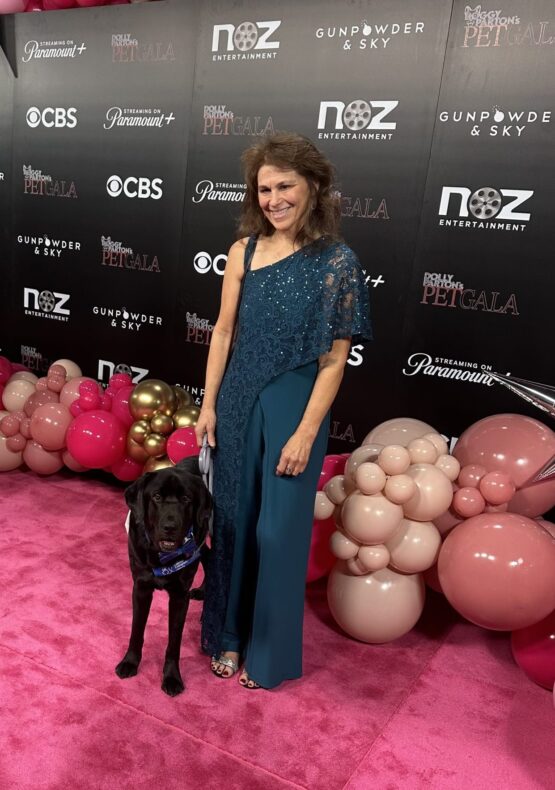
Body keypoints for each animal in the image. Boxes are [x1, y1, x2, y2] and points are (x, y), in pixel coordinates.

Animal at [115, 457, 212, 696]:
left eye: (186, 499)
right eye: (157, 497)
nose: (170, 527)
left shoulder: (179, 596)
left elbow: (174, 640)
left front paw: (172, 677)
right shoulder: (141, 588)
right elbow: (137, 629)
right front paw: (130, 662)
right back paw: (203, 590)